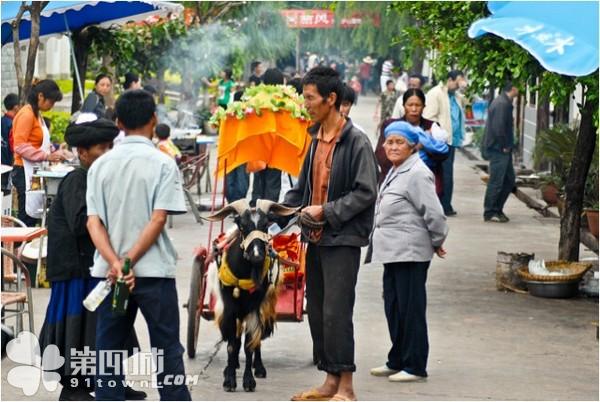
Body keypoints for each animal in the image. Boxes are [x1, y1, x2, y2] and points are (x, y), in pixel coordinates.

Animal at [205, 199, 296, 392]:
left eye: (266, 224)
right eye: (242, 225)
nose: (257, 255)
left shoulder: (254, 308)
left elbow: (249, 345)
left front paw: (248, 381)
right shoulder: (230, 309)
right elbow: (232, 345)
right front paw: (229, 380)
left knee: (257, 340)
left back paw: (259, 368)